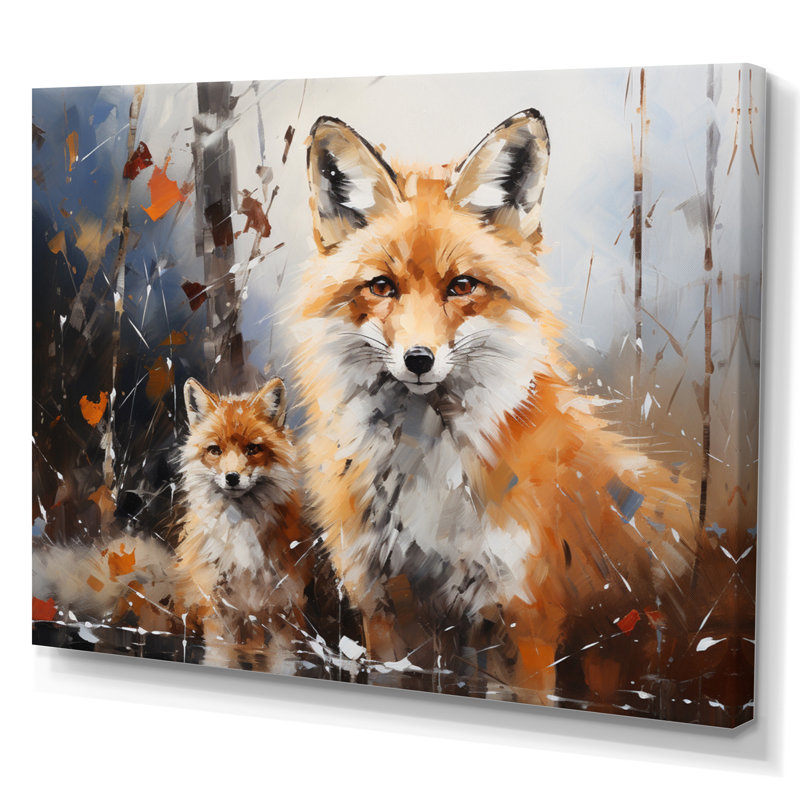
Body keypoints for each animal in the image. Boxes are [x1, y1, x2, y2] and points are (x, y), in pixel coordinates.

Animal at [288, 110, 699, 705]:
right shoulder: (384, 608)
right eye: (382, 286)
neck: (425, 471)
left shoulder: (524, 617)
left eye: (462, 285)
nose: (418, 359)